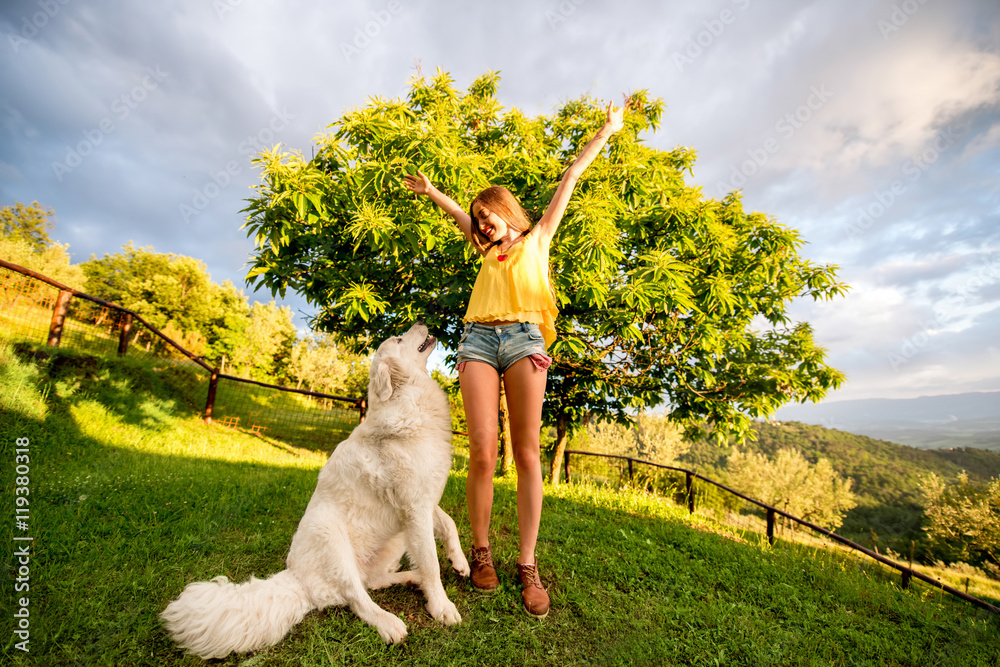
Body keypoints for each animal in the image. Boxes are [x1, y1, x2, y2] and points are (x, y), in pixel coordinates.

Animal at [162, 324, 470, 664]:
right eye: (400, 339)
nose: (421, 324)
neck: (407, 398)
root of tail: (296, 580)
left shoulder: (423, 502)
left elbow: (449, 525)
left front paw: (461, 563)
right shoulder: (414, 507)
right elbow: (431, 562)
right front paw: (442, 607)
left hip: (394, 542)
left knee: (372, 582)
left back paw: (409, 579)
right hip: (329, 535)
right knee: (357, 598)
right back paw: (389, 623)